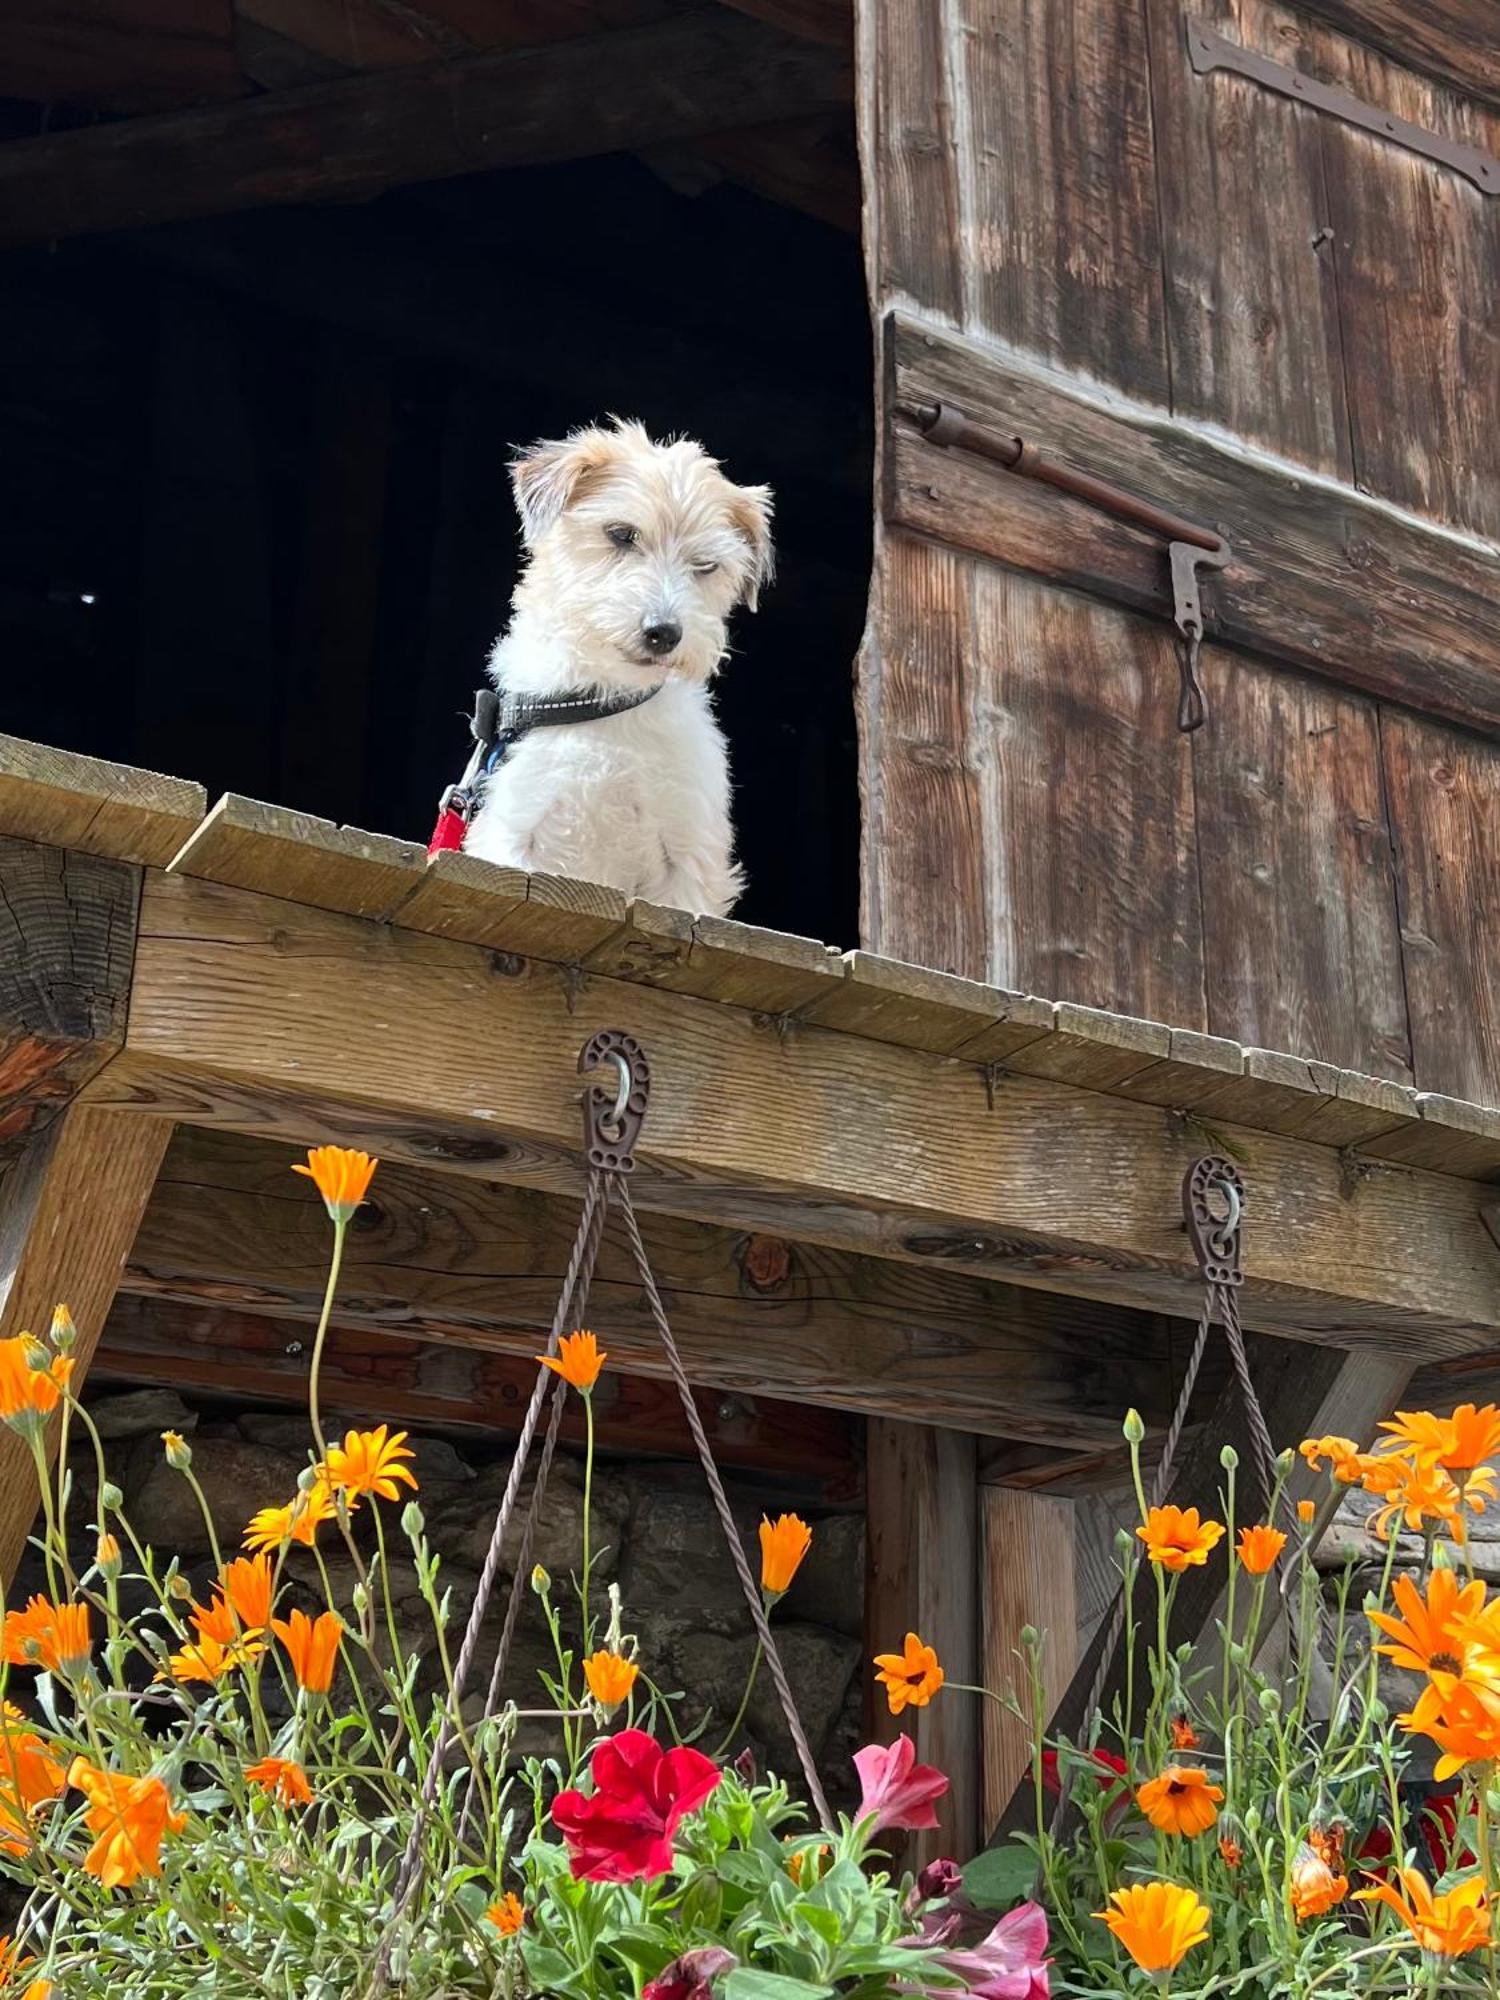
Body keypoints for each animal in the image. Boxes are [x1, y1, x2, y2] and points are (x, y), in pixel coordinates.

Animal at [464, 426, 776, 924]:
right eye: (622, 534)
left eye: (706, 565)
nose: (664, 633)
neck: (608, 703)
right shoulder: (515, 829)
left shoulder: (688, 856)